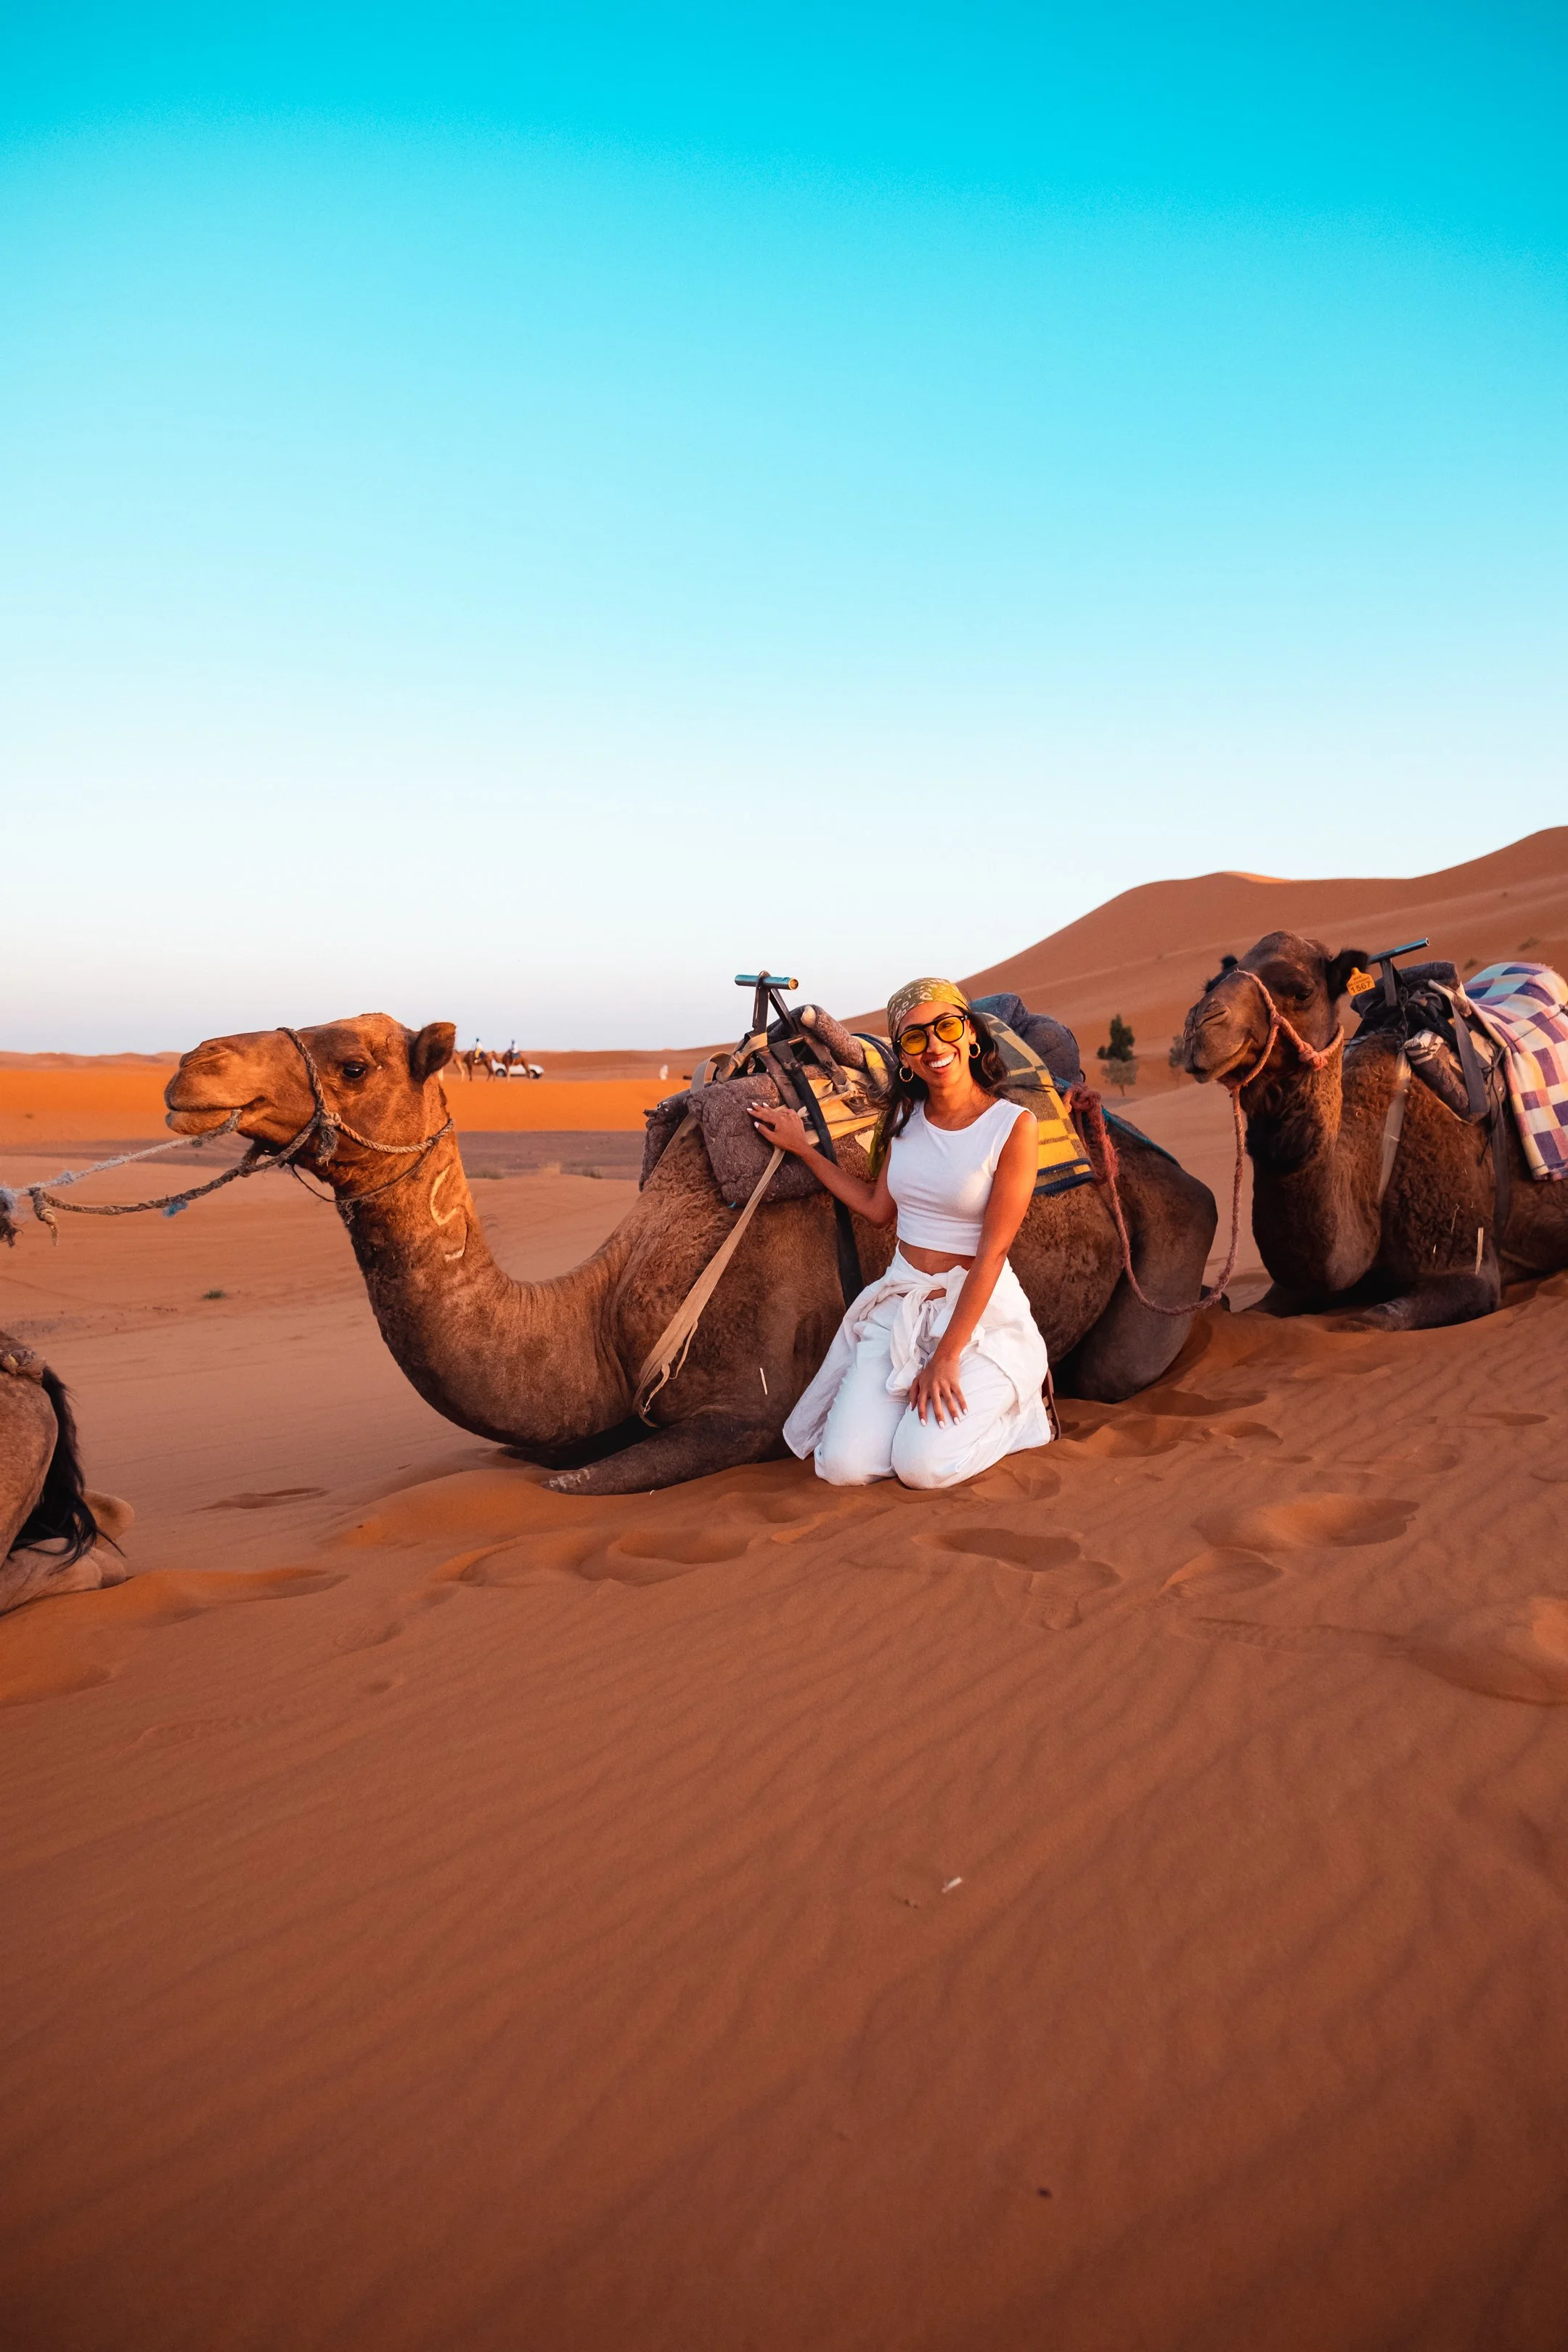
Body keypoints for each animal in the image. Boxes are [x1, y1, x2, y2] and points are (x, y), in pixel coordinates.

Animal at [164, 1014, 1218, 1494]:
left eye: (352, 1063)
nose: (192, 1068)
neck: (593, 1314)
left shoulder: (736, 1414)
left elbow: (573, 1483)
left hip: (1173, 1223)